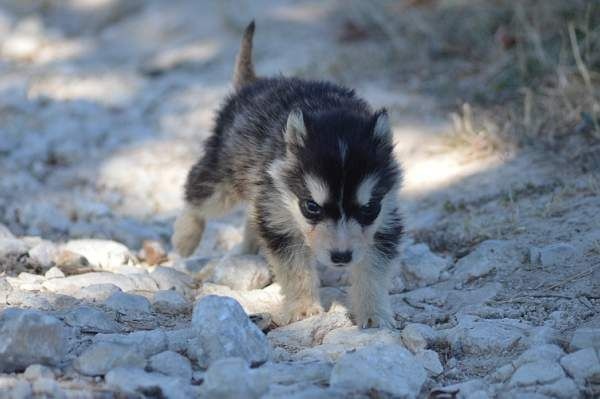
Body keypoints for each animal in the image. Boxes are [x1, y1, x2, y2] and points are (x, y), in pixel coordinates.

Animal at [172, 21, 404, 328]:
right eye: (311, 207)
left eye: (368, 209)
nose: (341, 257)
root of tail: (255, 83)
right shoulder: (281, 223)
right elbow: (296, 270)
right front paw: (304, 308)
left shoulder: (385, 221)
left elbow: (373, 271)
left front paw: (374, 312)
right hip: (224, 177)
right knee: (197, 194)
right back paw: (186, 237)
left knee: (251, 214)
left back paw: (247, 247)